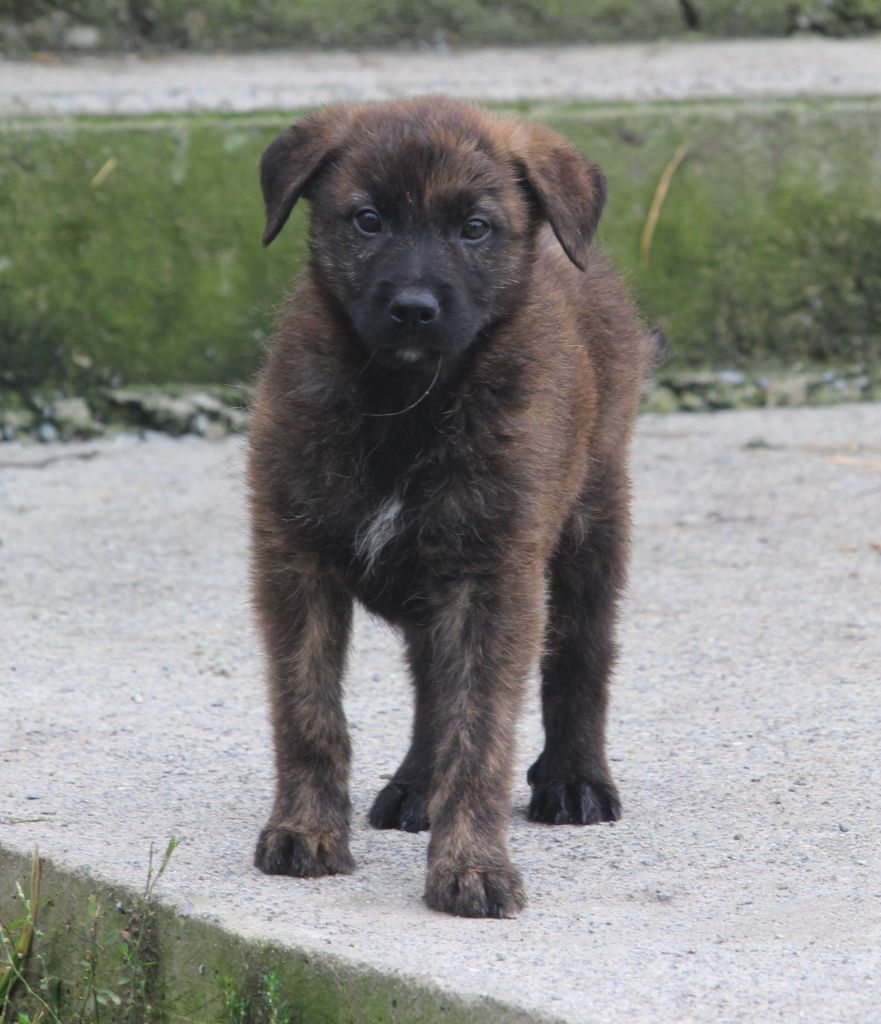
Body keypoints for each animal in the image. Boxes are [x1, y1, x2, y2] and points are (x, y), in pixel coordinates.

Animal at [247, 96, 659, 921]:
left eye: (474, 228)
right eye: (367, 220)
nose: (413, 309)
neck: (403, 405)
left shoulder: (492, 577)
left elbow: (481, 733)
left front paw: (471, 866)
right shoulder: (293, 560)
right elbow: (309, 712)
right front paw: (305, 830)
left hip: (593, 519)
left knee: (582, 652)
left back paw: (574, 777)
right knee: (431, 686)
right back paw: (414, 785)